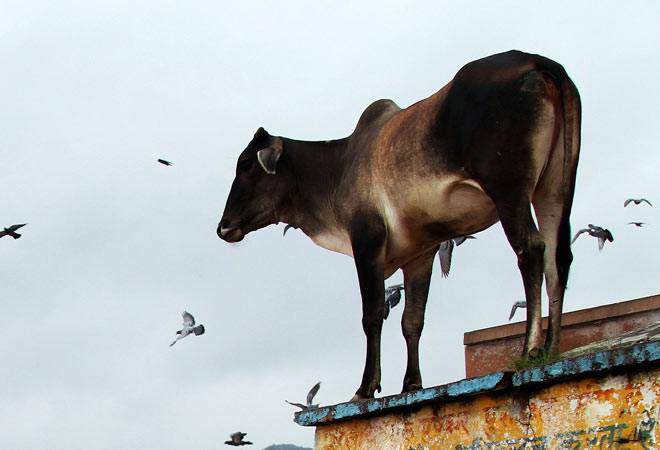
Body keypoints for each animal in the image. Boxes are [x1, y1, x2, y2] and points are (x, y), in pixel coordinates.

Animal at [218, 50, 581, 400]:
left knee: (531, 250)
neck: (337, 168)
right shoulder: (421, 254)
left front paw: (366, 386)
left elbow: (372, 313)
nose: (223, 227)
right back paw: (551, 349)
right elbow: (412, 321)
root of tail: (538, 62)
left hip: (509, 189)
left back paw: (530, 348)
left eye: (246, 164)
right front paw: (411, 384)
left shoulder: (367, 240)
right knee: (557, 258)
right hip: (554, 187)